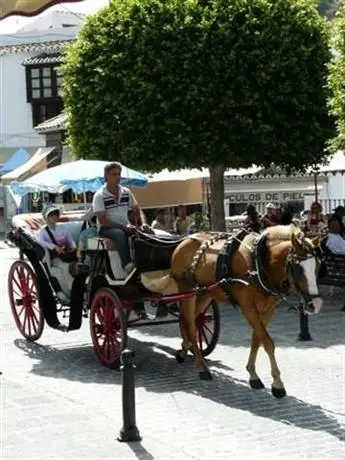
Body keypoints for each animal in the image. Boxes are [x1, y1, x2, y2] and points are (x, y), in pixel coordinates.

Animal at [144, 225, 322, 398]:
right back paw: (202, 367)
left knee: (188, 320)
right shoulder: (248, 307)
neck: (258, 261)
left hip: (205, 294)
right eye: (298, 268)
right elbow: (268, 343)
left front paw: (253, 375)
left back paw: (184, 350)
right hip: (188, 291)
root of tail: (184, 241)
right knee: (190, 325)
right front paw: (277, 384)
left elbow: (257, 340)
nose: (316, 304)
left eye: (318, 266)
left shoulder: (267, 309)